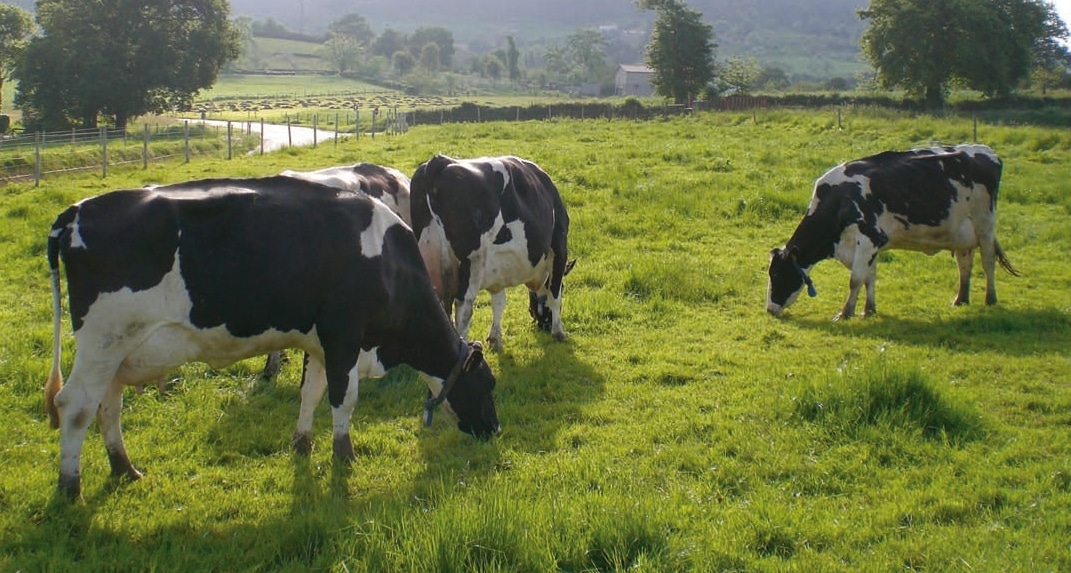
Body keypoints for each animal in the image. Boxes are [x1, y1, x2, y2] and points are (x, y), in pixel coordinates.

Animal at [41, 174, 501, 496]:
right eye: (488, 385)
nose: (495, 430)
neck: (388, 263)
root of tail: (77, 210)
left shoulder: (319, 342)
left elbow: (311, 392)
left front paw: (302, 444)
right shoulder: (344, 336)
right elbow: (344, 399)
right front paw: (344, 456)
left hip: (118, 352)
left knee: (108, 406)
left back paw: (124, 468)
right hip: (104, 340)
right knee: (76, 406)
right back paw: (70, 487)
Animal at [406, 154, 569, 351]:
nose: (545, 325)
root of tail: (439, 161)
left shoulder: (498, 270)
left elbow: (499, 302)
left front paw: (495, 339)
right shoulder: (559, 248)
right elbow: (555, 295)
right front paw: (558, 332)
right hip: (473, 264)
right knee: (463, 309)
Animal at [766, 142, 1015, 321]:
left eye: (777, 274)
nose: (769, 309)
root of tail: (987, 151)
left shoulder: (869, 239)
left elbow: (856, 279)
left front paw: (845, 313)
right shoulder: (871, 246)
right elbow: (870, 278)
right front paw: (869, 310)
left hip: (985, 224)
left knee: (988, 260)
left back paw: (990, 299)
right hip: (961, 233)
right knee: (965, 264)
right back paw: (960, 299)